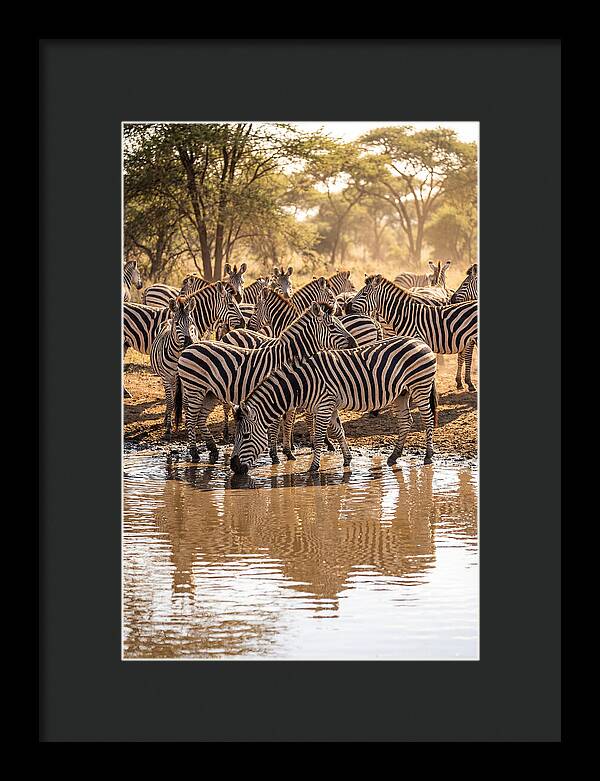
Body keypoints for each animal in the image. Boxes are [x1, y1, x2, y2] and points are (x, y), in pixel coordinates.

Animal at [150, 297, 199, 439]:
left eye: (191, 323)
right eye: (177, 324)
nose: (189, 343)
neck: (178, 355)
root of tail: (168, 320)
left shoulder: (188, 379)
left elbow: (186, 402)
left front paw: (188, 423)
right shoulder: (166, 377)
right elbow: (171, 401)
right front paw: (168, 428)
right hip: (168, 379)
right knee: (169, 398)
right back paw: (167, 418)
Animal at [176, 302, 357, 463]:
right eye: (332, 327)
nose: (355, 344)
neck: (287, 357)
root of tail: (189, 347)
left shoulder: (290, 394)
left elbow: (288, 422)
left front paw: (288, 452)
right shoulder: (278, 392)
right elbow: (277, 424)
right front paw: (275, 455)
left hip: (210, 393)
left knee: (200, 419)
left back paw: (213, 449)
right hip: (195, 389)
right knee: (191, 419)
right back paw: (194, 453)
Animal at [230, 335, 438, 475]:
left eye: (246, 436)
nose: (233, 466)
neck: (303, 383)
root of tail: (420, 342)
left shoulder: (324, 405)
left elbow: (319, 438)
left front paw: (313, 467)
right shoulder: (329, 406)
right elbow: (339, 432)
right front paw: (347, 459)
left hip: (420, 386)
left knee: (427, 419)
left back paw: (428, 455)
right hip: (401, 394)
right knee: (406, 422)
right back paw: (394, 455)